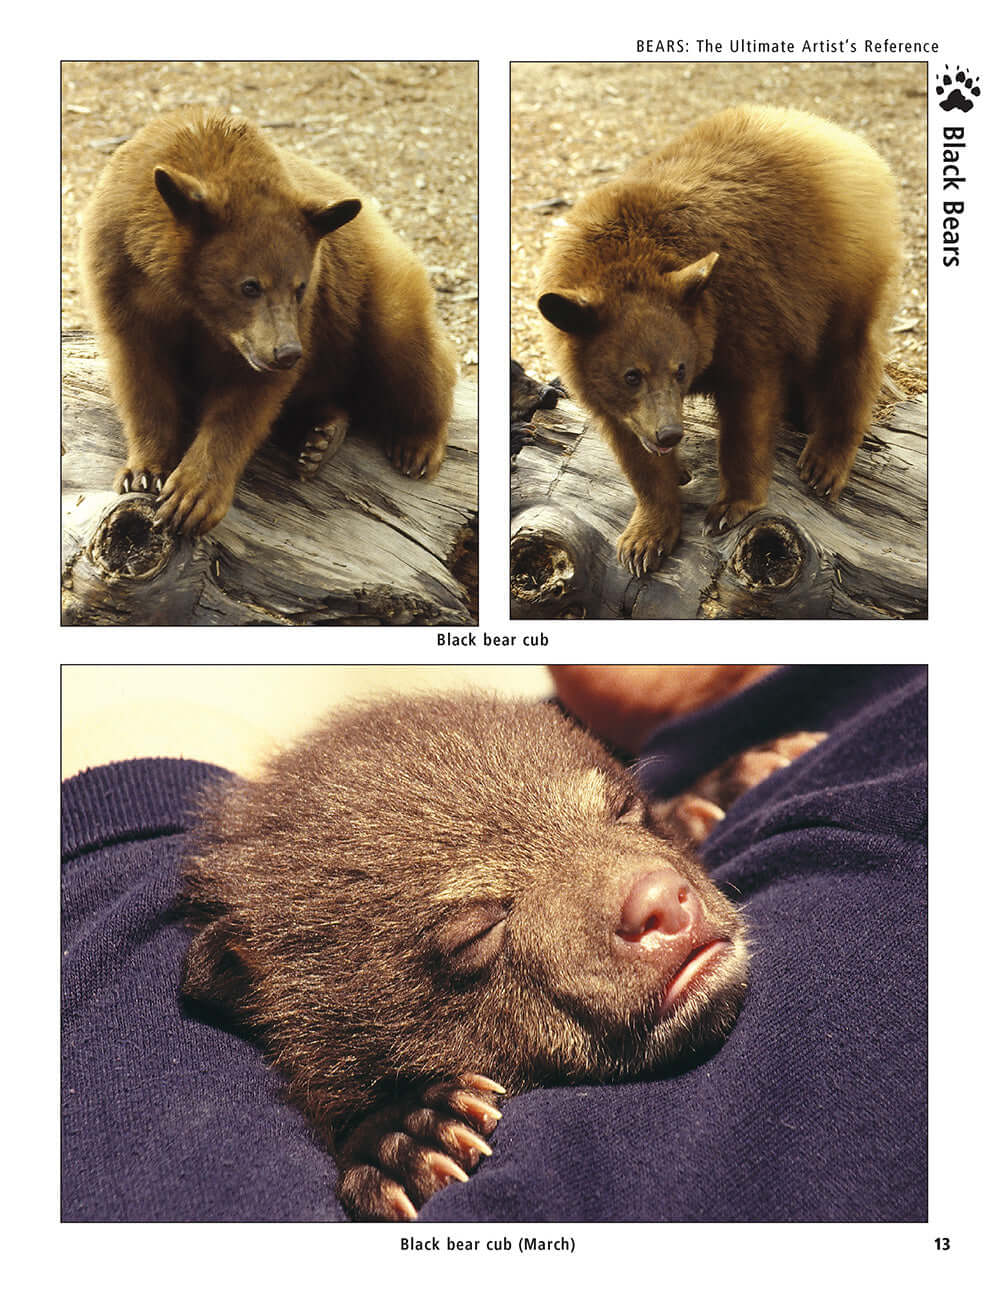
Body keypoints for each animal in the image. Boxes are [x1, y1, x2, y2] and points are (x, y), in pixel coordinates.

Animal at [79, 108, 457, 535]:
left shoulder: (299, 313)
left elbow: (247, 399)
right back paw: (321, 437)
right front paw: (143, 472)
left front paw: (191, 497)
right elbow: (140, 374)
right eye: (249, 285)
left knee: (408, 346)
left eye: (299, 286)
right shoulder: (119, 276)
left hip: (374, 291)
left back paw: (416, 445)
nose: (287, 353)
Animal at [536, 105, 903, 576]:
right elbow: (633, 452)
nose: (669, 434)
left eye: (680, 369)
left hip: (844, 269)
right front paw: (644, 539)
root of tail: (833, 132)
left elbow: (749, 411)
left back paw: (826, 459)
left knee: (848, 355)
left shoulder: (743, 315)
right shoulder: (598, 384)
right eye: (631, 375)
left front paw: (731, 506)